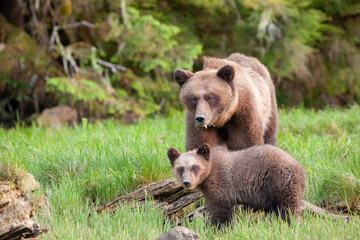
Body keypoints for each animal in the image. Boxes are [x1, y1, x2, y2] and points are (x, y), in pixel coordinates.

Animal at [167, 144, 306, 225]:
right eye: (180, 168)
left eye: (194, 167)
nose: (187, 182)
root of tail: (300, 168)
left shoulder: (220, 184)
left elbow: (220, 209)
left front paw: (217, 228)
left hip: (279, 181)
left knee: (287, 208)